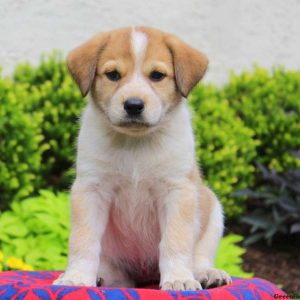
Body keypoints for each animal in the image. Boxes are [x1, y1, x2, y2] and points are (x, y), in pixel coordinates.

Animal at [53, 26, 232, 290]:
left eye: (157, 75)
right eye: (113, 75)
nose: (134, 105)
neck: (135, 144)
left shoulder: (178, 191)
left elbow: (175, 241)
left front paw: (178, 278)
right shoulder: (90, 190)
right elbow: (83, 240)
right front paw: (77, 277)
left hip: (213, 210)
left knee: (199, 255)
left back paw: (206, 273)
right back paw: (102, 276)